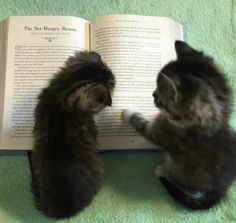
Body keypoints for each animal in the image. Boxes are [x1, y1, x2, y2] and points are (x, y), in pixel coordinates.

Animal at [122, 41, 236, 210]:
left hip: (179, 168)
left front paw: (126, 112)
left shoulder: (162, 134)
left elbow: (140, 124)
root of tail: (224, 185)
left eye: (159, 97)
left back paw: (161, 170)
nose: (152, 94)